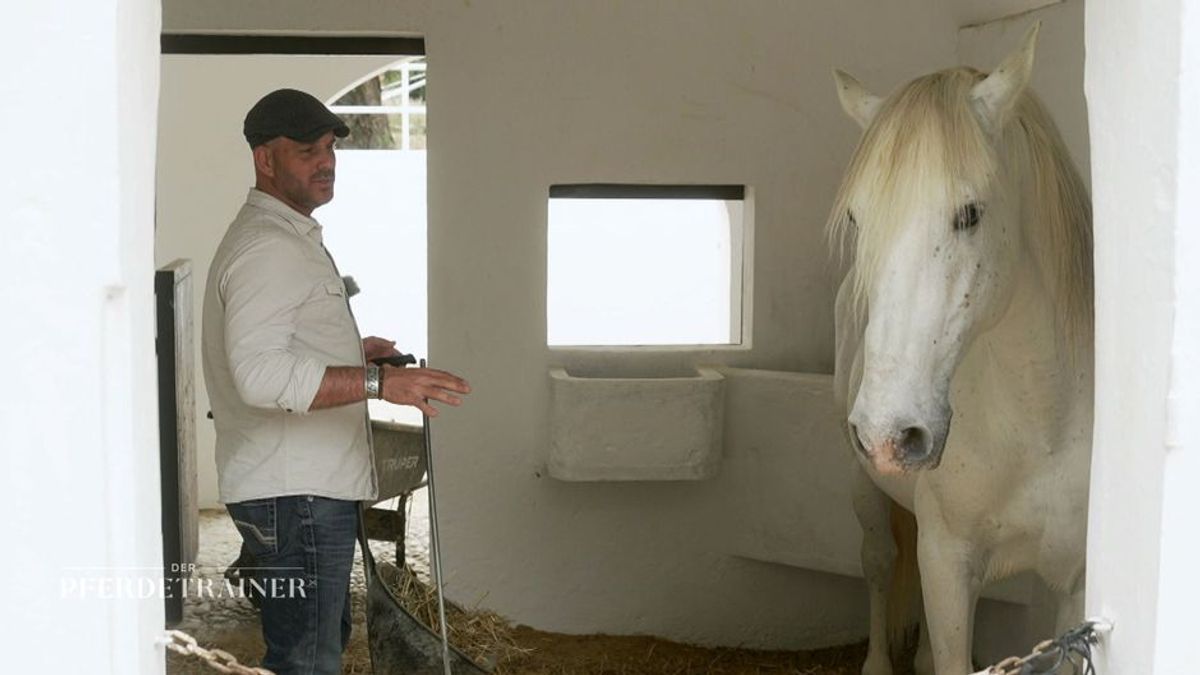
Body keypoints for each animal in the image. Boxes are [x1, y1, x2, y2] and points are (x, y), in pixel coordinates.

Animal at [830, 23, 1094, 667]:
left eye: (970, 214)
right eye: (855, 219)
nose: (887, 434)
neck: (1040, 418)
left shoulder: (1074, 581)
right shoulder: (948, 562)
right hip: (863, 488)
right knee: (879, 565)